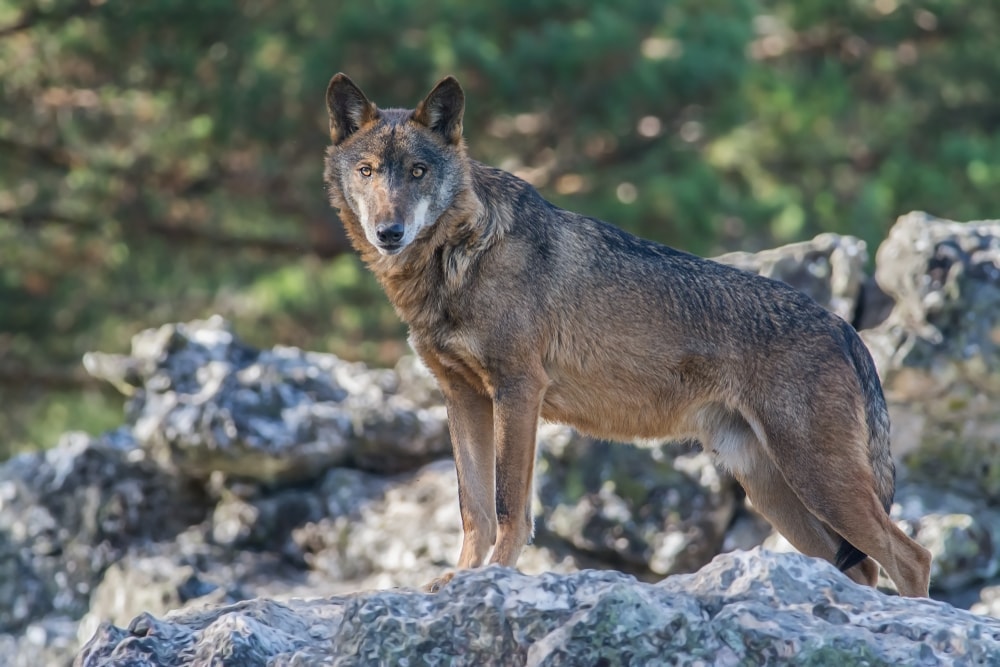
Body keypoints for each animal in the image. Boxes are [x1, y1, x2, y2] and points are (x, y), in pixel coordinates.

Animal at [322, 73, 932, 597]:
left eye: (418, 171)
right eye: (369, 171)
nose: (389, 232)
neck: (457, 257)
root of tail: (844, 326)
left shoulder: (518, 391)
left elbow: (508, 506)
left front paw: (496, 577)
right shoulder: (463, 397)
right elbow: (472, 508)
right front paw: (463, 579)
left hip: (817, 480)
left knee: (912, 556)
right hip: (777, 492)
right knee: (864, 569)